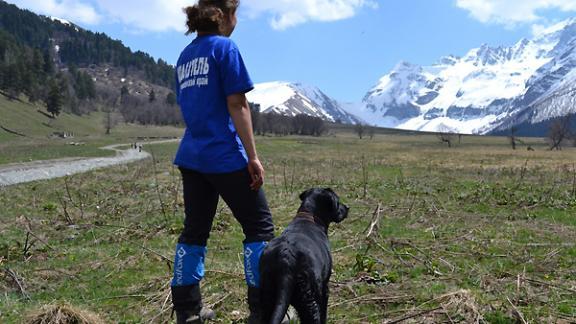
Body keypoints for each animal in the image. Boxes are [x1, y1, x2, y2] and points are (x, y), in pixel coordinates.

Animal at [258, 189, 348, 322]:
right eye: (338, 201)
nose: (347, 207)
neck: (309, 217)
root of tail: (285, 259)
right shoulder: (324, 287)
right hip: (308, 298)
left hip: (267, 298)